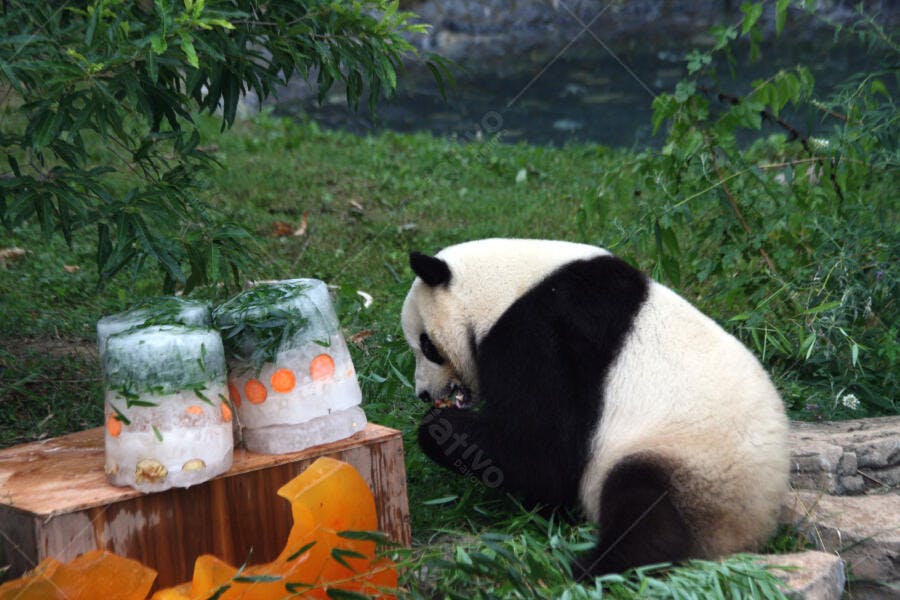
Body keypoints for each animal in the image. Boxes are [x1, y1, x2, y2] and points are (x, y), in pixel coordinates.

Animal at [400, 238, 789, 578]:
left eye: (427, 345)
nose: (423, 393)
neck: (509, 286)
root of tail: (752, 531)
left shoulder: (540, 330)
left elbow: (541, 451)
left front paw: (438, 427)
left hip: (695, 462)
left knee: (647, 509)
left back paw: (591, 567)